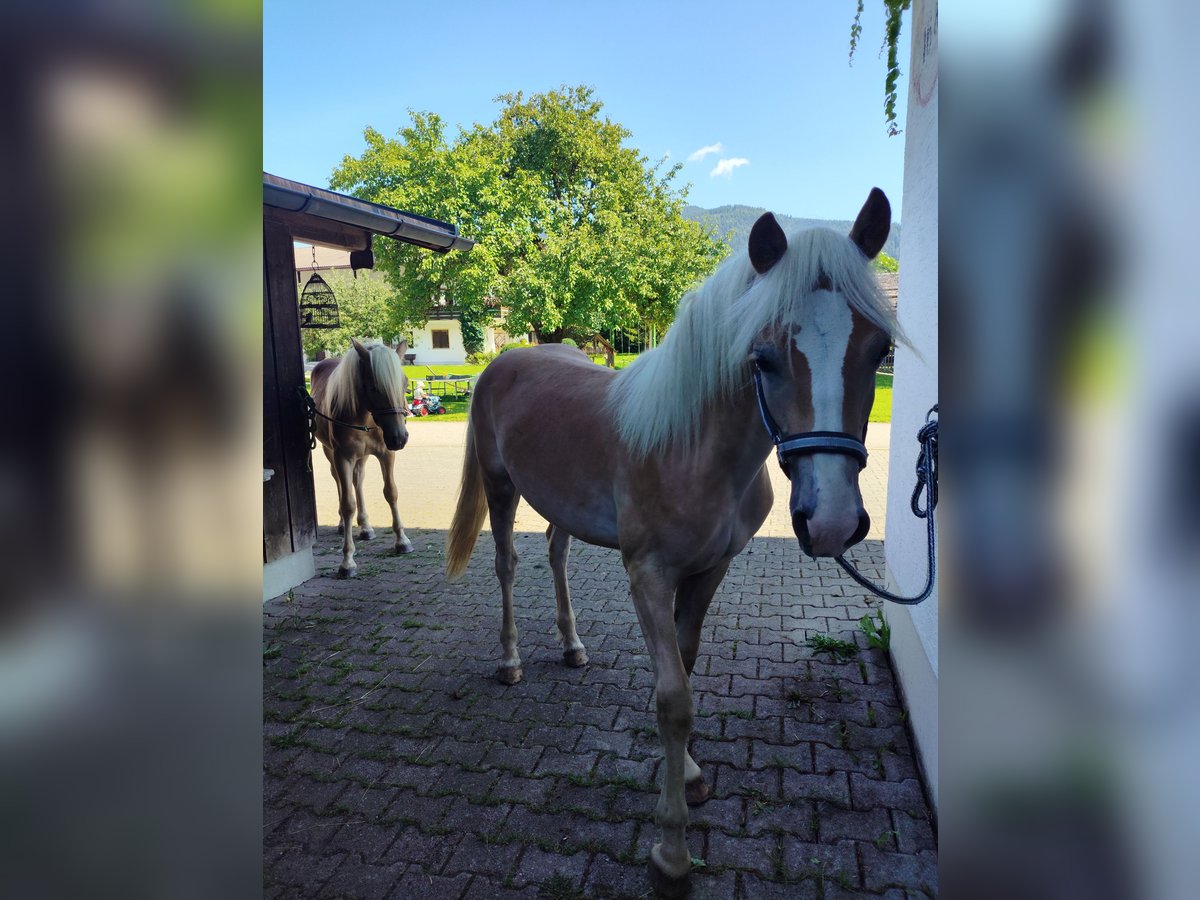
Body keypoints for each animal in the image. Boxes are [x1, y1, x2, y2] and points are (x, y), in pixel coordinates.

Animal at [312, 338, 415, 578]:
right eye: (374, 387)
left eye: (405, 384)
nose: (399, 438)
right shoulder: (342, 457)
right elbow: (347, 503)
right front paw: (347, 560)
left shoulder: (386, 454)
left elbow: (391, 493)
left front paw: (402, 540)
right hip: (330, 452)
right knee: (340, 483)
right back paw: (343, 524)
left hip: (361, 458)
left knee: (357, 481)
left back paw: (366, 527)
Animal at [448, 188, 902, 897]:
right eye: (763, 357)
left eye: (878, 347)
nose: (830, 521)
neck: (693, 446)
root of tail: (509, 358)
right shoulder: (648, 576)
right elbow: (672, 699)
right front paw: (671, 851)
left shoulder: (711, 569)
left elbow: (686, 665)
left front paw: (687, 774)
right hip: (500, 489)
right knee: (507, 566)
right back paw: (511, 660)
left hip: (559, 507)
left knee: (555, 554)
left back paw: (572, 647)